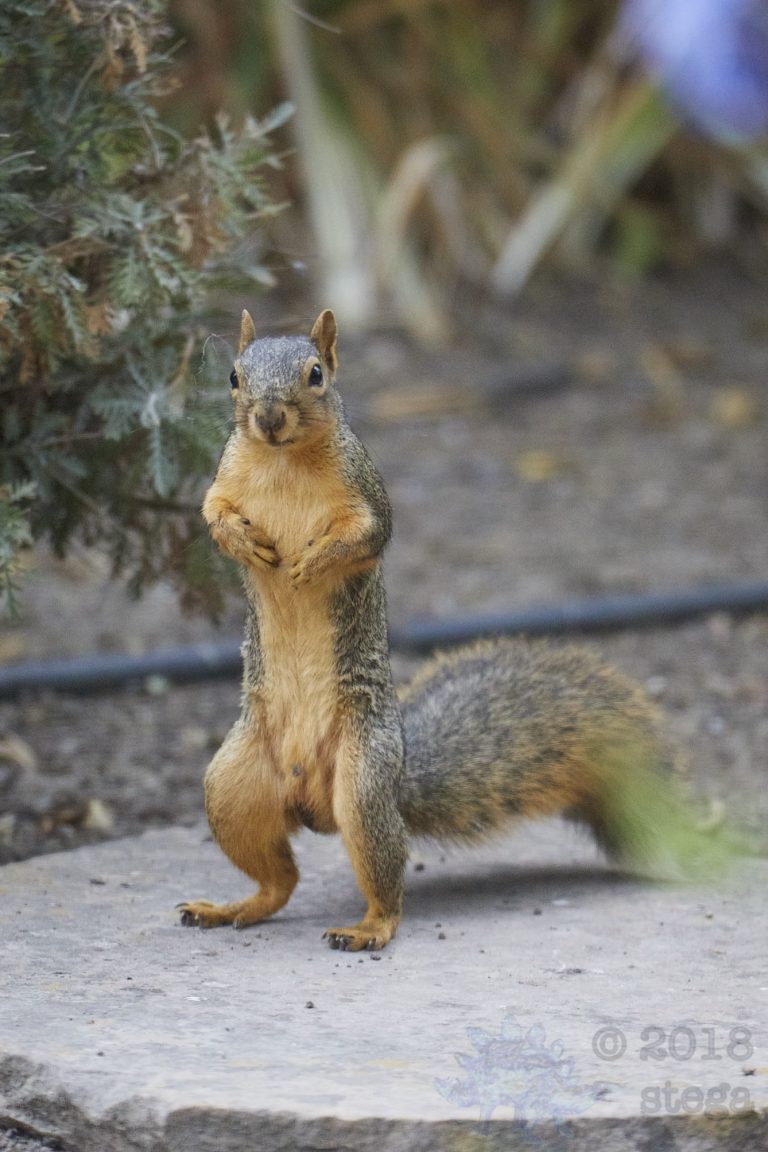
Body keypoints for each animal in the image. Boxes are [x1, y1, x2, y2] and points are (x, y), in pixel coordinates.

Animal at [178, 309, 705, 952]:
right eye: (234, 376)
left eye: (316, 373)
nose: (269, 418)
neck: (282, 460)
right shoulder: (224, 480)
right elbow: (212, 514)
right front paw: (241, 541)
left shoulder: (366, 493)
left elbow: (367, 535)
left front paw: (313, 563)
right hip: (231, 789)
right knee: (279, 881)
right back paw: (231, 907)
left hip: (361, 783)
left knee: (379, 875)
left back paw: (368, 929)